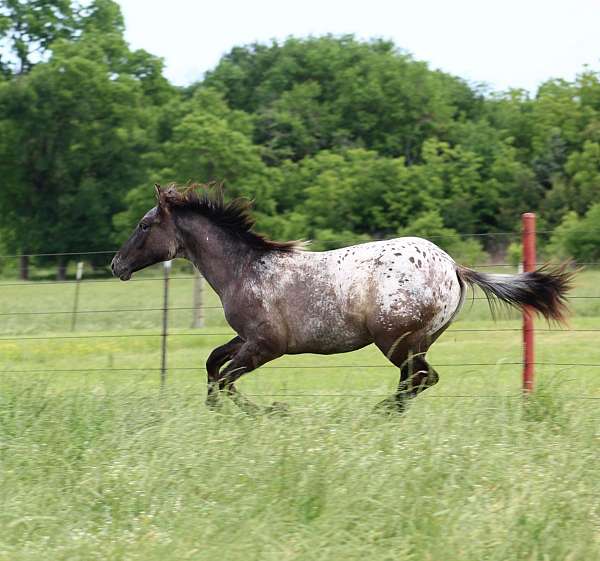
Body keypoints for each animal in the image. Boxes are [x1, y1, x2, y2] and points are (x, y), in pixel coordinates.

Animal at [110, 184, 576, 412]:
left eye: (145, 224)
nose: (116, 264)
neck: (247, 270)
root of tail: (454, 268)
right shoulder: (247, 338)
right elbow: (212, 365)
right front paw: (219, 412)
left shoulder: (266, 346)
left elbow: (226, 378)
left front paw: (269, 410)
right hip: (415, 343)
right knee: (417, 380)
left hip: (395, 340)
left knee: (421, 379)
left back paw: (376, 414)